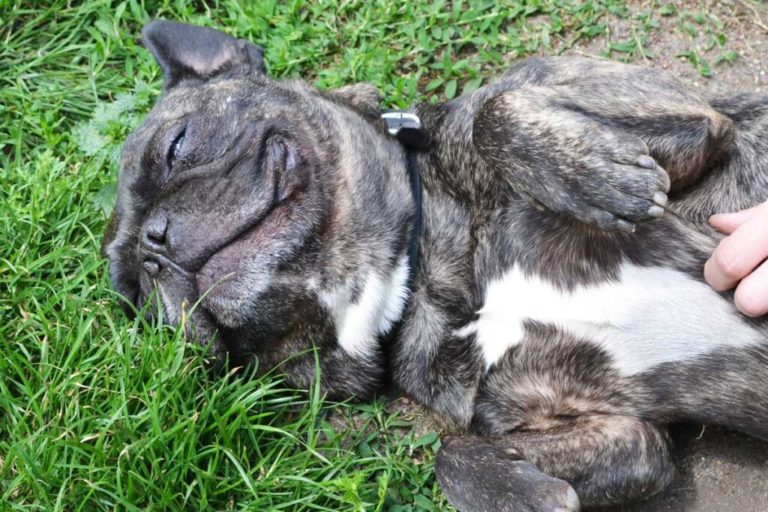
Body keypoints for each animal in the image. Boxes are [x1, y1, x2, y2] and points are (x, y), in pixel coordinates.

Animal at [103, 21, 768, 512]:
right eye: (138, 298)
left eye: (176, 147)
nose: (154, 249)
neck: (420, 274)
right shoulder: (624, 437)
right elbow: (455, 454)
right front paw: (521, 495)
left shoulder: (694, 122)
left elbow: (495, 110)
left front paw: (599, 178)